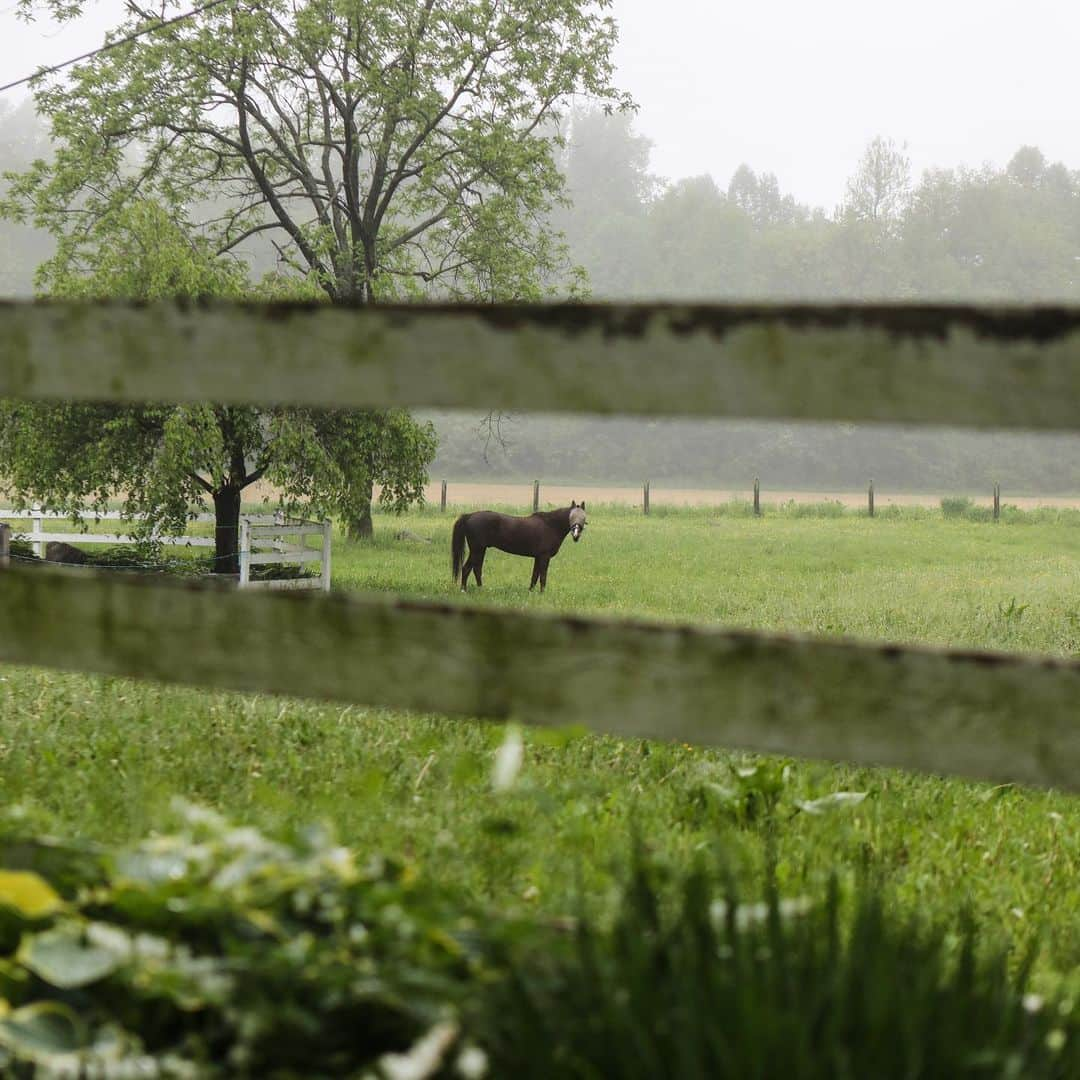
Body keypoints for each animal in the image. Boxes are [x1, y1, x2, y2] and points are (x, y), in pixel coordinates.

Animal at [455, 501, 591, 596]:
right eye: (571, 516)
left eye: (583, 517)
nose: (576, 534)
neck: (550, 525)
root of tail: (469, 516)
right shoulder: (544, 557)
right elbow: (543, 576)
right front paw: (542, 593)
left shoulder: (538, 557)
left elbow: (535, 575)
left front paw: (531, 591)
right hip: (477, 550)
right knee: (468, 568)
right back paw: (464, 591)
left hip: (480, 550)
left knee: (475, 569)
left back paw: (479, 589)